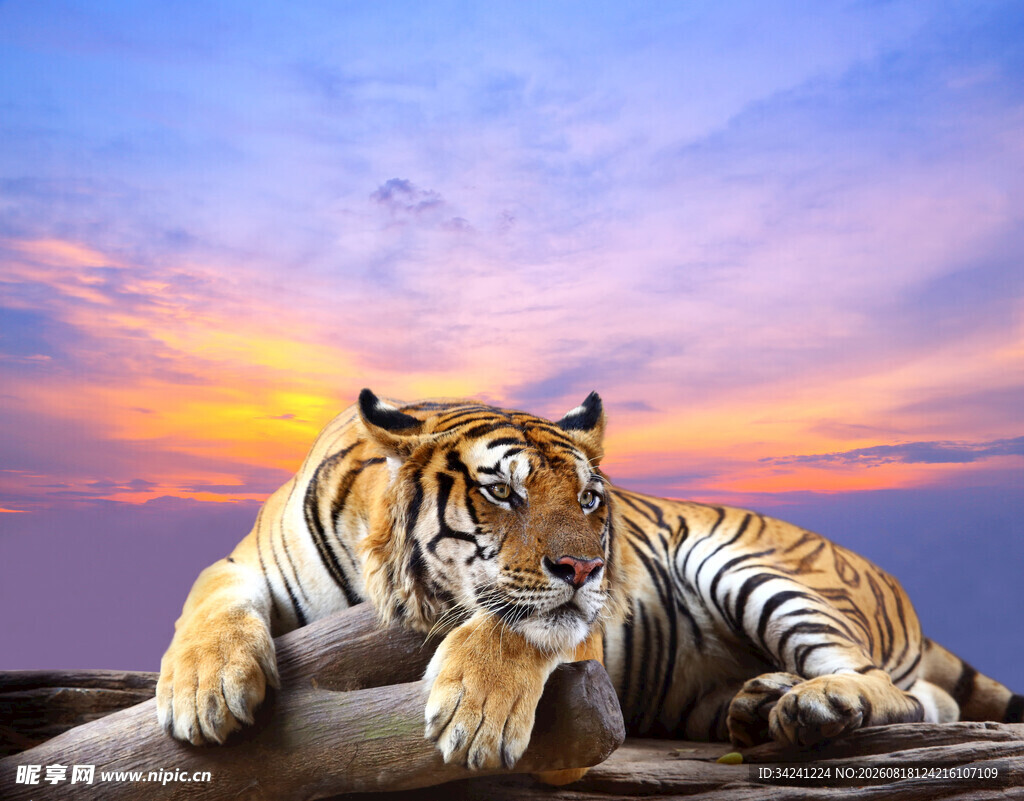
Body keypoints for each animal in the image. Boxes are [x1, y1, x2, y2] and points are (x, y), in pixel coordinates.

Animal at [157, 389, 1023, 782]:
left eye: (588, 500)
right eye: (501, 491)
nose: (587, 567)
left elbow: (515, 623)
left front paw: (475, 717)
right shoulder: (243, 563)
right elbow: (206, 601)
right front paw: (204, 692)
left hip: (749, 565)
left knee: (894, 689)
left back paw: (815, 704)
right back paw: (761, 701)